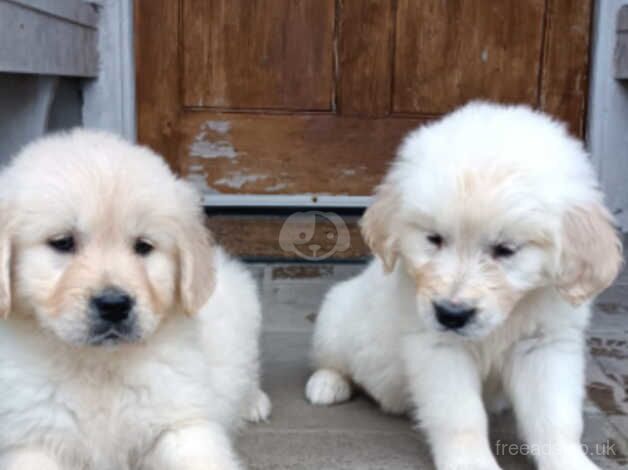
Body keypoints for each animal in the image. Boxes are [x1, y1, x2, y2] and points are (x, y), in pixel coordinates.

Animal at [0, 130, 268, 470]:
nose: (114, 305)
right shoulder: (31, 439)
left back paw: (254, 402)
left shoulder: (182, 424)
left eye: (143, 246)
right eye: (62, 242)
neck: (98, 366)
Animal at [306, 103, 624, 470]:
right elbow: (461, 418)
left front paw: (571, 462)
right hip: (335, 317)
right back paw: (327, 384)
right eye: (434, 239)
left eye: (505, 249)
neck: (509, 315)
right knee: (332, 360)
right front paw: (473, 463)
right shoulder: (440, 347)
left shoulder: (546, 344)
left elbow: (556, 419)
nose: (451, 314)